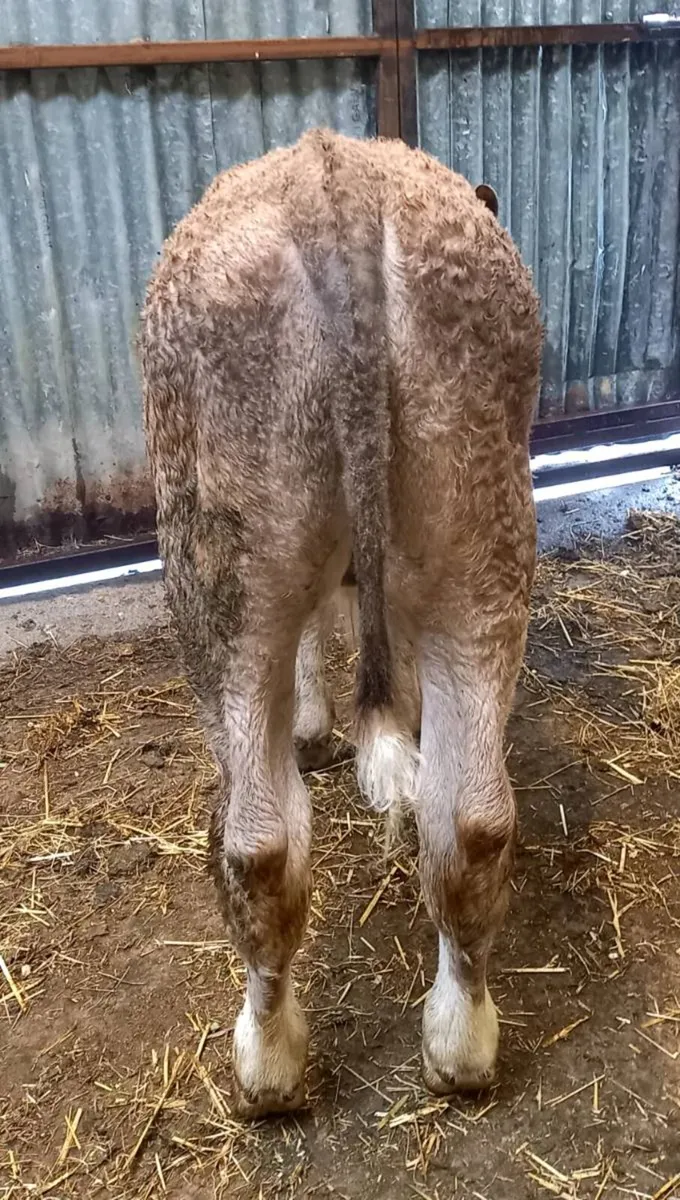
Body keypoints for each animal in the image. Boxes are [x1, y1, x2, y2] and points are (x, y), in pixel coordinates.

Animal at [140, 128, 542, 1118]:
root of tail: (338, 178)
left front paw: (320, 726)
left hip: (217, 567)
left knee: (256, 842)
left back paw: (267, 1065)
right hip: (483, 530)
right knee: (471, 822)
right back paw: (460, 1045)